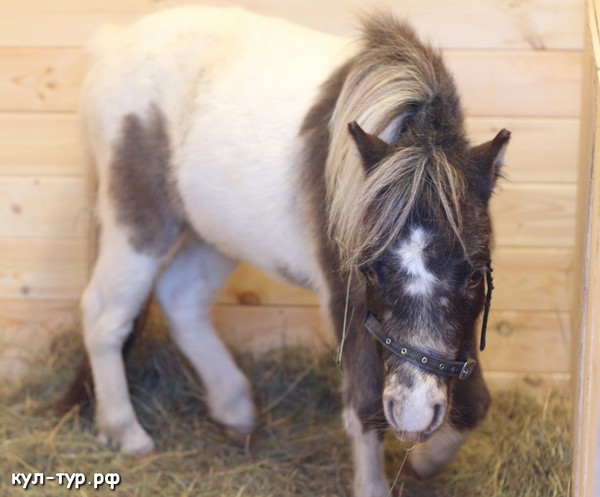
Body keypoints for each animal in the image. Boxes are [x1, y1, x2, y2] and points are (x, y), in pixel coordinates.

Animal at [78, 5, 510, 494]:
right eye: (369, 270)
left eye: (475, 273)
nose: (415, 415)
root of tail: (111, 44)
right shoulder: (346, 298)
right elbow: (364, 408)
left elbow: (476, 402)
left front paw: (427, 460)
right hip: (137, 217)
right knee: (105, 313)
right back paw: (125, 432)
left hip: (215, 233)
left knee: (180, 298)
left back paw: (234, 407)